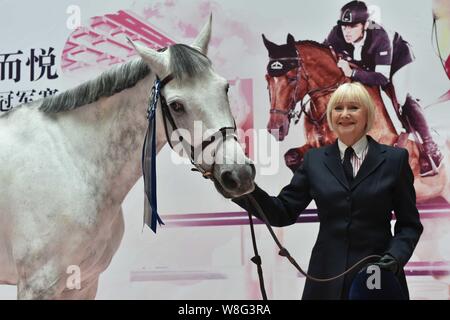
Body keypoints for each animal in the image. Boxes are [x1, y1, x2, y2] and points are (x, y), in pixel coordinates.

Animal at [0, 16, 255, 298]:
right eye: (177, 105)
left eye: (225, 88)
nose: (239, 175)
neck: (72, 162)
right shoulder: (37, 286)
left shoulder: (85, 282)